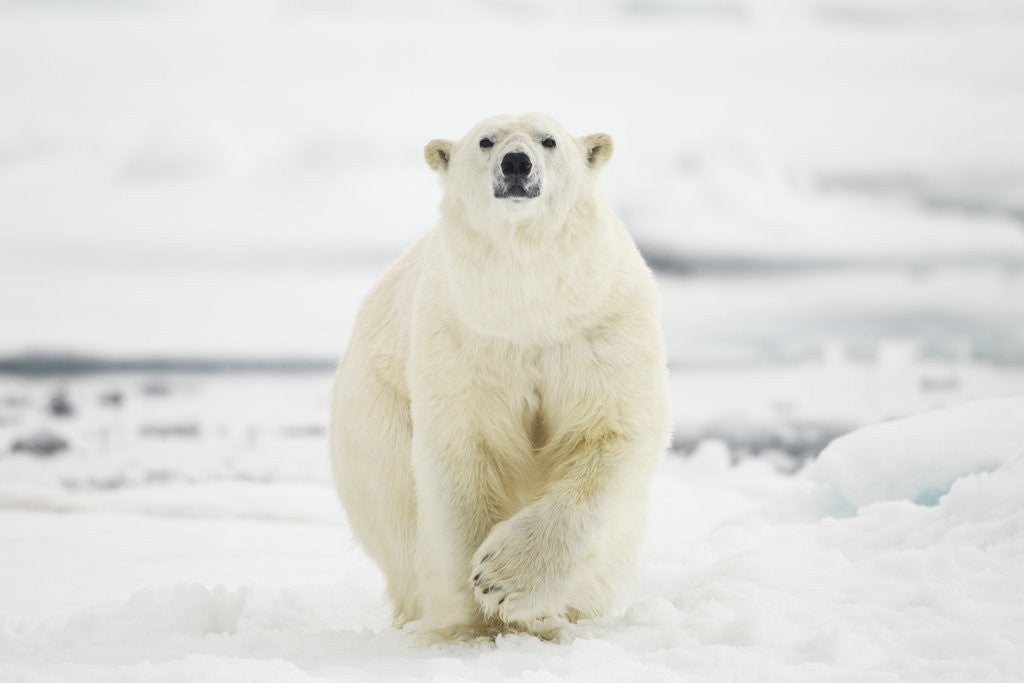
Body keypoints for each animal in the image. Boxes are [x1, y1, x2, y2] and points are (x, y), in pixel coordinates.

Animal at [329, 113, 671, 642]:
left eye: (549, 140)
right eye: (486, 141)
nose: (516, 163)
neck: (527, 307)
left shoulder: (598, 330)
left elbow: (608, 433)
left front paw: (505, 583)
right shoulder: (465, 340)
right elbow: (464, 453)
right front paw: (477, 613)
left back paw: (567, 614)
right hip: (375, 423)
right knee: (400, 522)